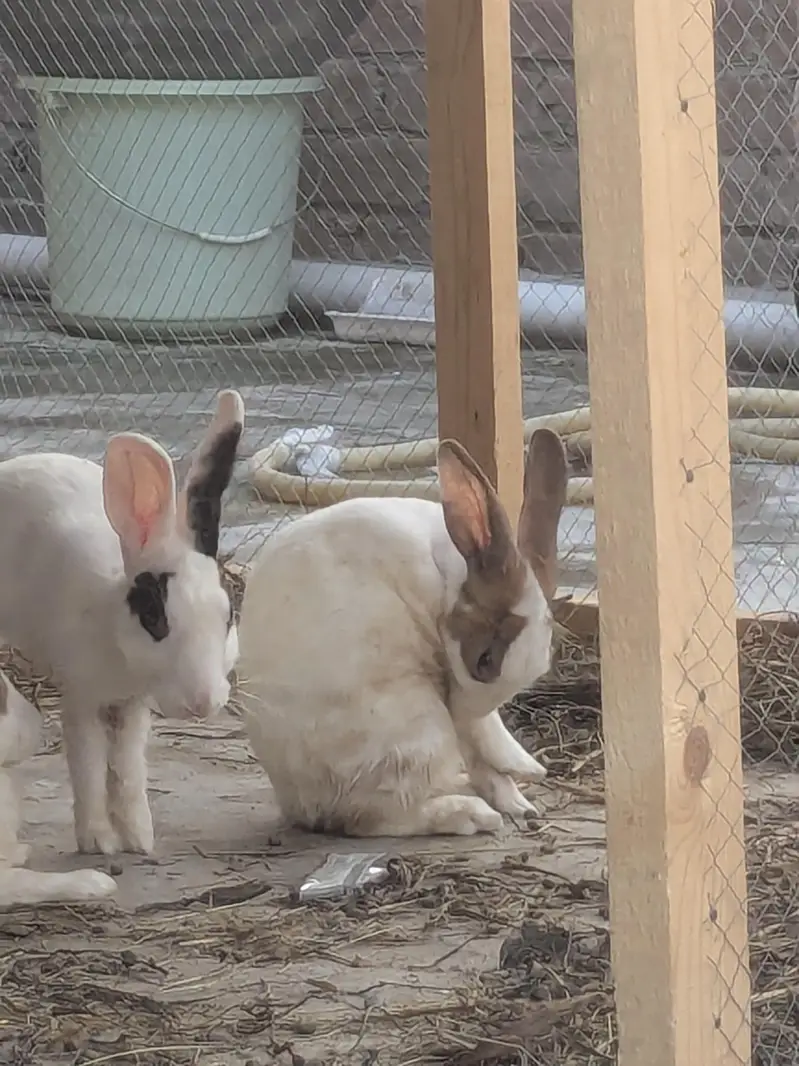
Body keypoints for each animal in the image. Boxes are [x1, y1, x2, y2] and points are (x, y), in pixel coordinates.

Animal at [0, 389, 245, 857]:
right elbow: (90, 766)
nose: (203, 704)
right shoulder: (81, 698)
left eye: (228, 616)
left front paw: (138, 839)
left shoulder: (133, 707)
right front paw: (99, 842)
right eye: (154, 618)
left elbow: (129, 768)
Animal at [237, 428, 567, 838]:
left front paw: (522, 788)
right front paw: (524, 769)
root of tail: (303, 807)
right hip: (414, 733)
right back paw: (475, 815)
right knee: (381, 817)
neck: (445, 580)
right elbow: (482, 728)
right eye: (484, 660)